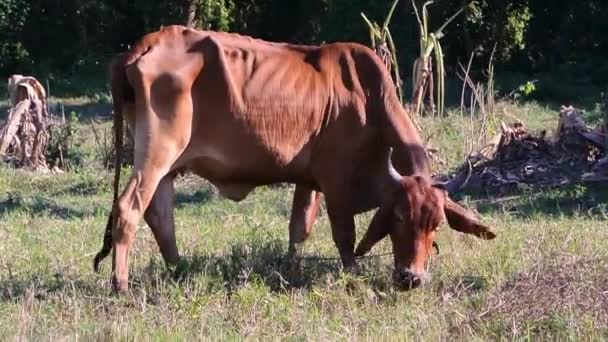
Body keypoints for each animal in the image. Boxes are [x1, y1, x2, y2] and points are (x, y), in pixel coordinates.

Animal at [94, 25, 494, 292]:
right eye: (397, 217)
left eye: (436, 223)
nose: (411, 277)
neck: (370, 101)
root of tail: (145, 44)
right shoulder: (335, 180)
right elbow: (344, 234)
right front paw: (351, 274)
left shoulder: (309, 180)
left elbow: (299, 228)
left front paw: (291, 269)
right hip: (157, 153)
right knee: (128, 210)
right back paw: (121, 284)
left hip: (167, 166)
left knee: (160, 217)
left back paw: (179, 272)